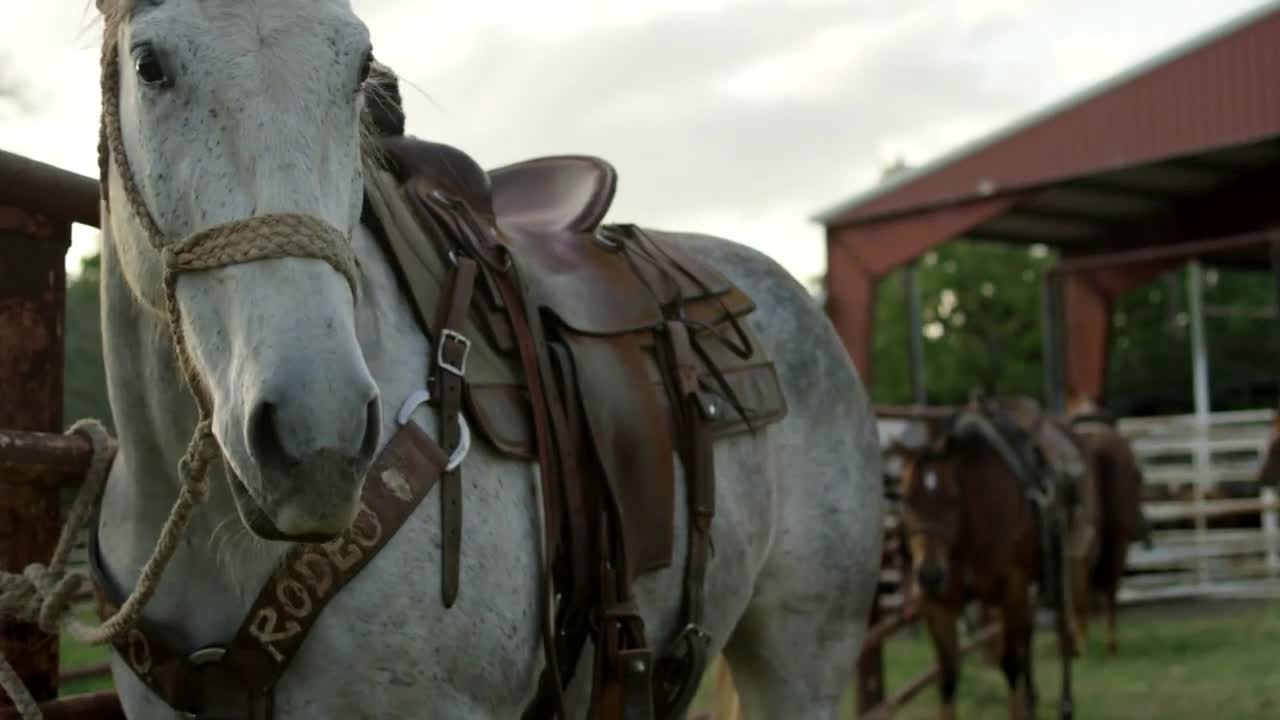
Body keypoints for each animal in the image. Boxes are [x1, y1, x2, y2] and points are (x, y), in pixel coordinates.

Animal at [890, 397, 1090, 717]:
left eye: (953, 498)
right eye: (906, 498)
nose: (929, 574)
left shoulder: (1012, 590)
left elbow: (1010, 665)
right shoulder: (938, 605)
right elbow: (949, 676)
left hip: (1058, 573)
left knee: (1060, 633)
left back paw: (1065, 706)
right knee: (1027, 640)